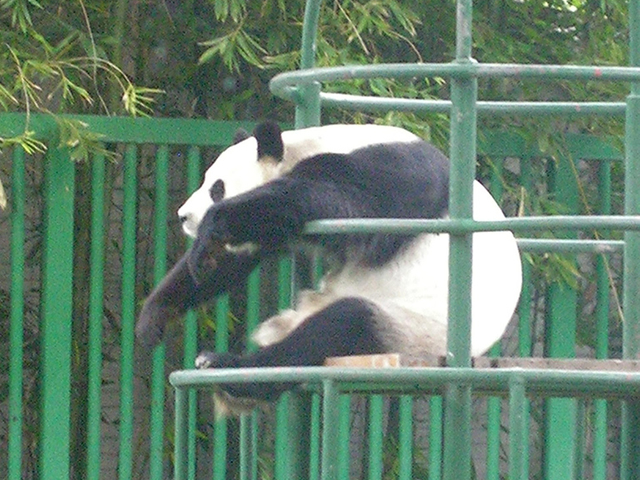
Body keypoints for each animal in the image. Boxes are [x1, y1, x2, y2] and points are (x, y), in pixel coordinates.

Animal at [135, 122, 520, 410]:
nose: (184, 216)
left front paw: (212, 225)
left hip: (415, 330)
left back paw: (229, 366)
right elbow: (235, 255)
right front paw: (154, 315)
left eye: (217, 187)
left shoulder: (392, 172)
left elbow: (340, 201)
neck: (307, 144)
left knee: (339, 327)